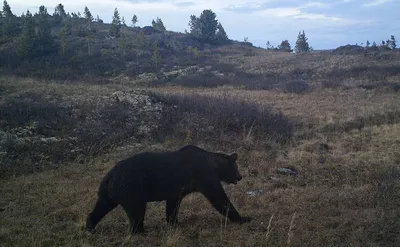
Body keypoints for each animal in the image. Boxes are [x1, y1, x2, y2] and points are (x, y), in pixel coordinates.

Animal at [86, 146, 252, 234]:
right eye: (236, 166)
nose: (240, 176)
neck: (213, 165)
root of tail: (109, 176)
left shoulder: (177, 188)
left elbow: (173, 204)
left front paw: (175, 222)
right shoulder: (203, 175)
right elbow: (218, 197)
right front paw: (243, 218)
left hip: (109, 192)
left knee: (101, 206)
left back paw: (90, 226)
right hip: (131, 187)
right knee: (137, 210)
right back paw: (140, 230)